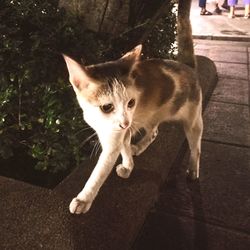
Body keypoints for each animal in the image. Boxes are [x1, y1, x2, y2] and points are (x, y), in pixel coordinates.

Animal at [63, 0, 202, 215]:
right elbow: (125, 147)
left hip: (193, 123)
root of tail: (188, 66)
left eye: (131, 103)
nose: (125, 122)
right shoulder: (118, 130)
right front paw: (128, 165)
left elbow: (99, 173)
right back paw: (141, 146)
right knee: (153, 132)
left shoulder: (115, 137)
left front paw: (84, 199)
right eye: (107, 107)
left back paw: (193, 170)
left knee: (196, 147)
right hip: (149, 117)